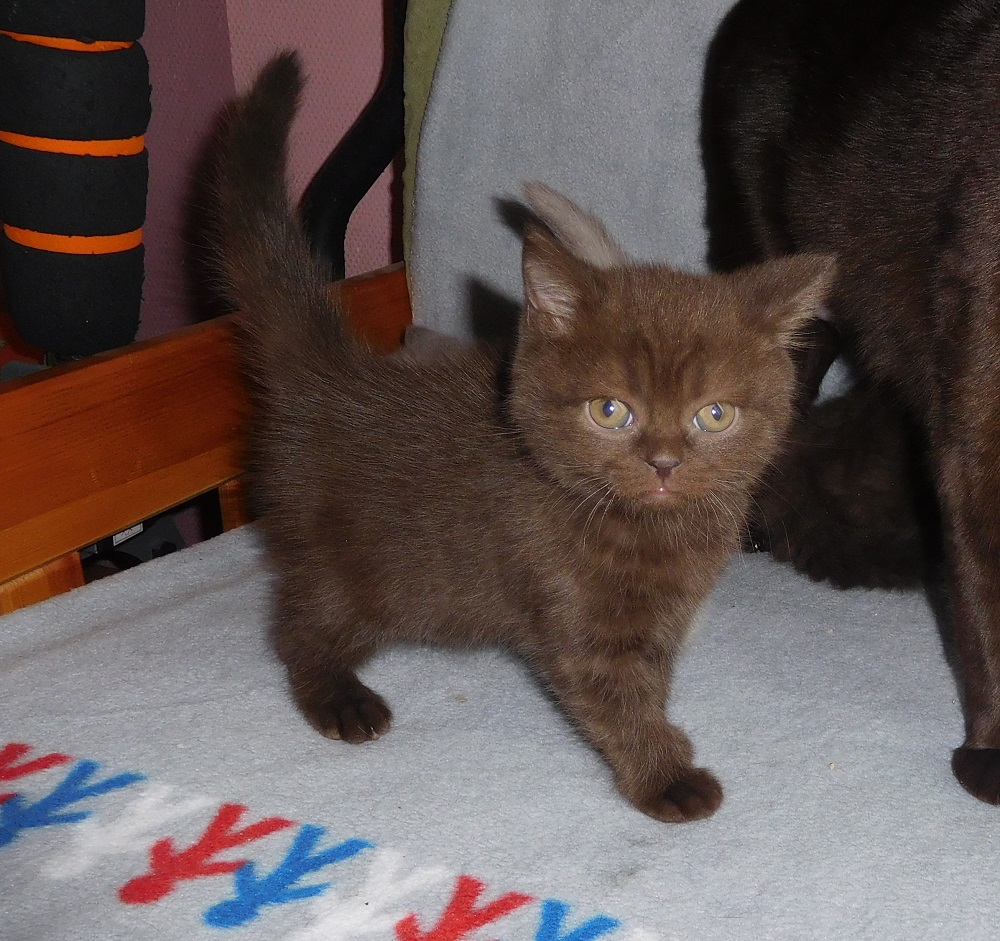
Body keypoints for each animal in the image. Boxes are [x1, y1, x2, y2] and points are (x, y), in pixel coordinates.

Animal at [211, 52, 833, 822]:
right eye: (610, 411)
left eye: (713, 416)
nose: (663, 463)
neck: (646, 530)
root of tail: (334, 371)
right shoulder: (572, 605)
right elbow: (613, 694)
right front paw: (664, 776)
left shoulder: (659, 615)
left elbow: (649, 678)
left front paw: (666, 740)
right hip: (347, 556)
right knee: (304, 623)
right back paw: (339, 697)